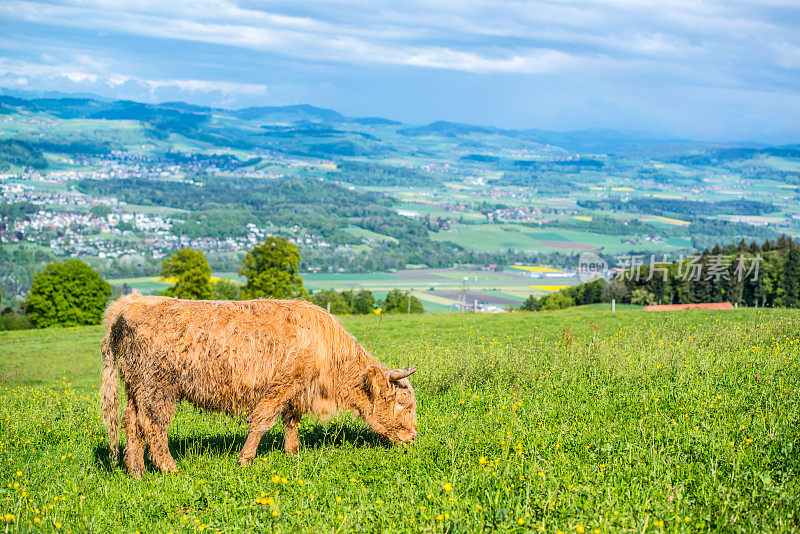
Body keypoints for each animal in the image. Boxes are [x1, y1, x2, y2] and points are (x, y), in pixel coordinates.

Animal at [100, 296, 418, 480]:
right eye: (403, 403)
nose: (413, 438)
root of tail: (127, 303)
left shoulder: (295, 390)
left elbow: (291, 421)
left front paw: (293, 452)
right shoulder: (281, 387)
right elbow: (263, 422)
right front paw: (245, 459)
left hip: (136, 388)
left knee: (132, 423)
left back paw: (136, 470)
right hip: (157, 386)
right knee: (152, 425)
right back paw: (168, 467)